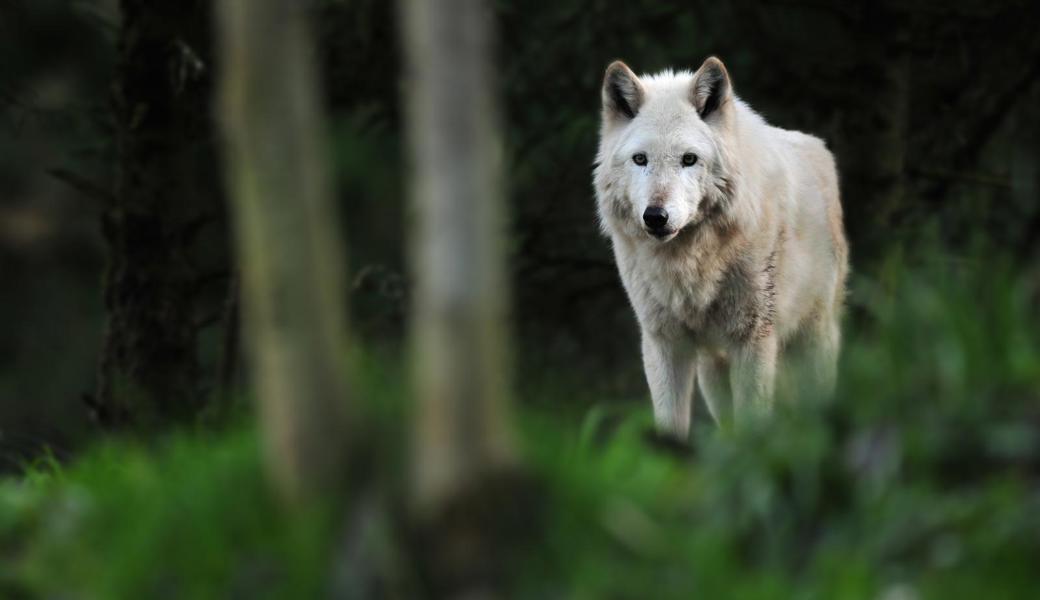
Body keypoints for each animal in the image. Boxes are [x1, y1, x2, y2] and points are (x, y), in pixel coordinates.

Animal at [594, 57, 848, 438]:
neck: (691, 264)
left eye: (689, 159)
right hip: (713, 370)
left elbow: (754, 425)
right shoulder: (663, 343)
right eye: (640, 159)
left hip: (813, 341)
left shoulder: (753, 341)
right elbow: (670, 425)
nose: (655, 216)